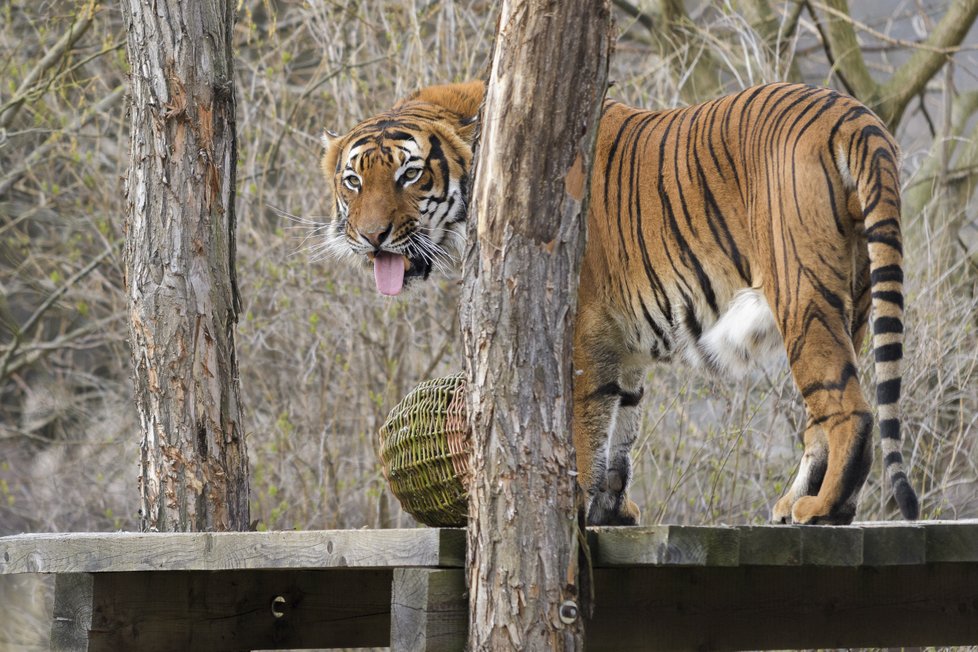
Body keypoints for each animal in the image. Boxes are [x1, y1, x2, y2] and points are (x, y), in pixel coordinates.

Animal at [320, 80, 916, 524]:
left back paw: (825, 509)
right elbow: (620, 431)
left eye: (410, 174)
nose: (370, 237)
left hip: (802, 294)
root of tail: (851, 113)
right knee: (825, 413)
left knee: (850, 408)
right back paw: (796, 504)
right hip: (852, 298)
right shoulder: (622, 342)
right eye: (353, 181)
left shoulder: (581, 333)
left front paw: (575, 512)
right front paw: (613, 510)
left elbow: (584, 428)